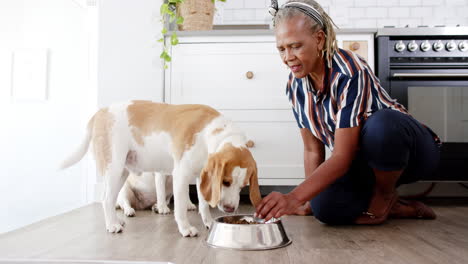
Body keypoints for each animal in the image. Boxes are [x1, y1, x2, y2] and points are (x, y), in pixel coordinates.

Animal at [59, 101, 262, 237]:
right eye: (225, 182)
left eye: (243, 186)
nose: (229, 209)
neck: (211, 134)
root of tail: (100, 112)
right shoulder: (180, 175)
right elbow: (180, 207)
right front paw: (185, 228)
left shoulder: (201, 177)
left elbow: (204, 204)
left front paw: (209, 222)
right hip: (114, 169)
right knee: (107, 199)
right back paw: (113, 225)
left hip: (121, 173)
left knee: (111, 199)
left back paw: (117, 220)